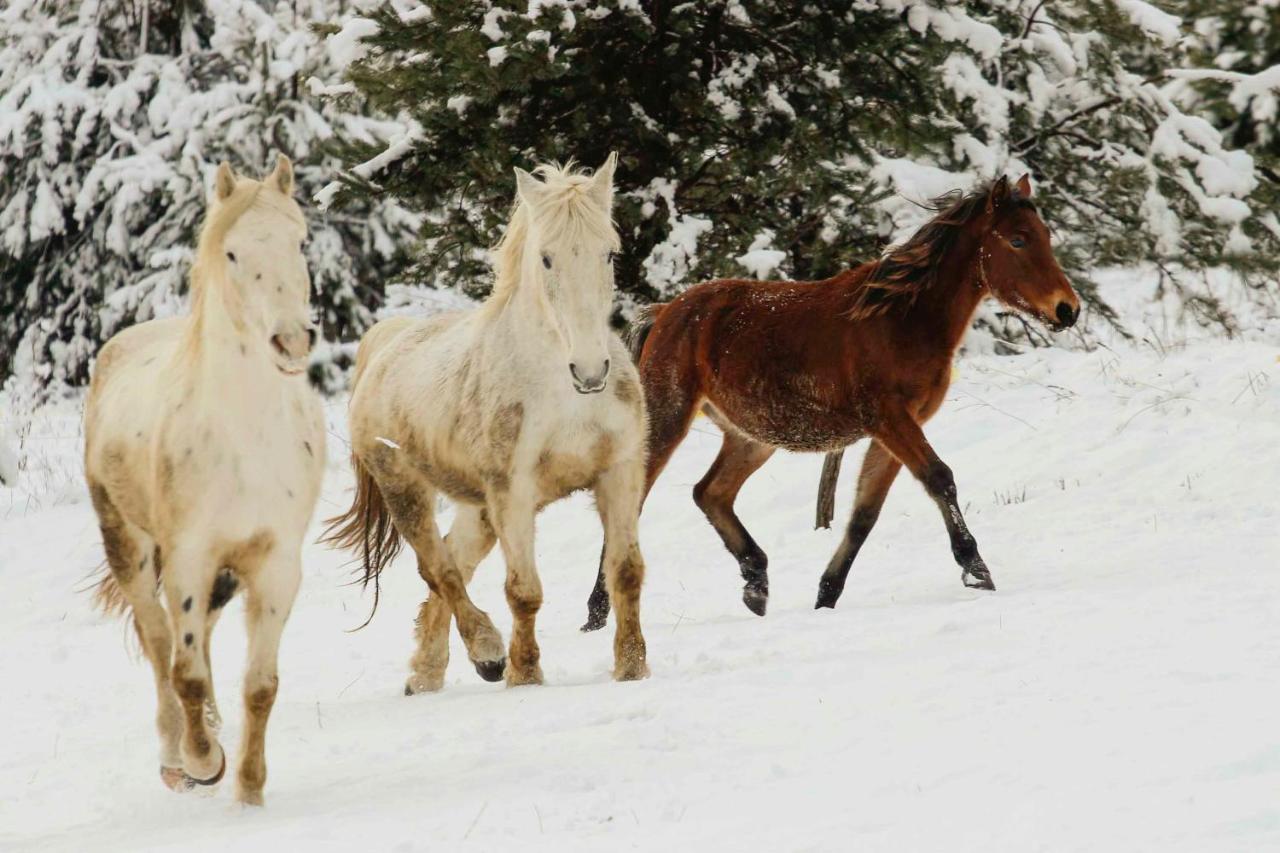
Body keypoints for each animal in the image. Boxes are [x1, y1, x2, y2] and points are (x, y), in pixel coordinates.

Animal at [86, 157, 325, 804]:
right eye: (234, 253)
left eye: (301, 241)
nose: (291, 340)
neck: (243, 437)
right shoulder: (188, 558)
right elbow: (184, 671)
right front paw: (203, 761)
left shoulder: (275, 563)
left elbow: (261, 685)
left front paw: (249, 790)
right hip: (132, 549)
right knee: (159, 641)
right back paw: (177, 757)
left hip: (222, 573)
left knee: (203, 636)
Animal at [325, 156, 650, 691]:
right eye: (546, 259)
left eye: (609, 253)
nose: (590, 371)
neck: (564, 398)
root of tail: (388, 342)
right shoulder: (512, 493)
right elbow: (524, 591)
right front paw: (524, 673)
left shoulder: (619, 473)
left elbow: (625, 573)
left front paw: (632, 667)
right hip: (406, 490)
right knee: (439, 570)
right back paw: (487, 653)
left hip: (477, 510)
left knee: (452, 563)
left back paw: (425, 675)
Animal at [583, 172, 1080, 627]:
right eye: (1017, 240)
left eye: (1044, 236)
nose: (1068, 309)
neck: (902, 319)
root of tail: (666, 312)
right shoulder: (890, 419)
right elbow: (940, 479)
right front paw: (976, 570)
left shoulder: (894, 429)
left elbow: (864, 513)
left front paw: (826, 595)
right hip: (668, 420)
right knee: (631, 504)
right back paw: (598, 613)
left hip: (751, 437)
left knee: (711, 493)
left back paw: (756, 583)